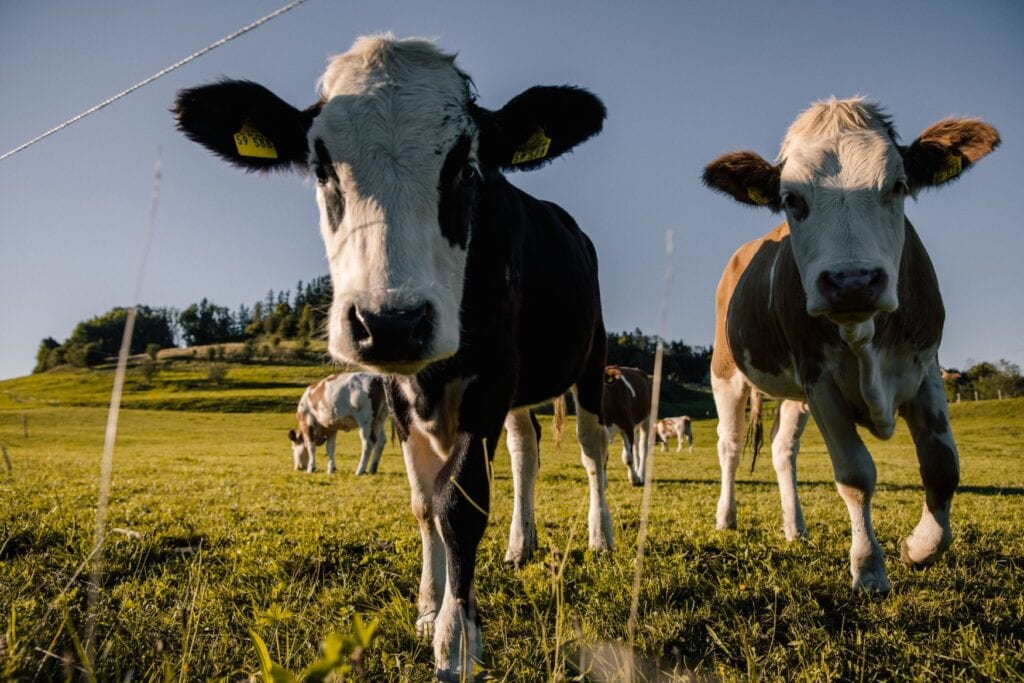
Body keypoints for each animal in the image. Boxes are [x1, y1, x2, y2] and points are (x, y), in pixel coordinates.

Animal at [173, 34, 610, 679]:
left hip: (591, 358)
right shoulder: (403, 395)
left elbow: (460, 503)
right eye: (321, 167)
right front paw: (431, 607)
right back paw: (520, 544)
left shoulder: (489, 378)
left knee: (592, 448)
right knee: (525, 451)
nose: (391, 323)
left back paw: (601, 536)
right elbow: (424, 502)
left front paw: (456, 640)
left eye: (465, 167)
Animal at [704, 94, 999, 593]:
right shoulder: (820, 381)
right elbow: (855, 475)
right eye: (791, 199)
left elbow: (943, 467)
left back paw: (795, 527)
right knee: (730, 445)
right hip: (726, 373)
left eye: (898, 185)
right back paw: (726, 517)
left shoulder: (925, 369)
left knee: (783, 451)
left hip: (795, 396)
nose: (852, 281)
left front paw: (919, 548)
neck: (863, 335)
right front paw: (869, 567)